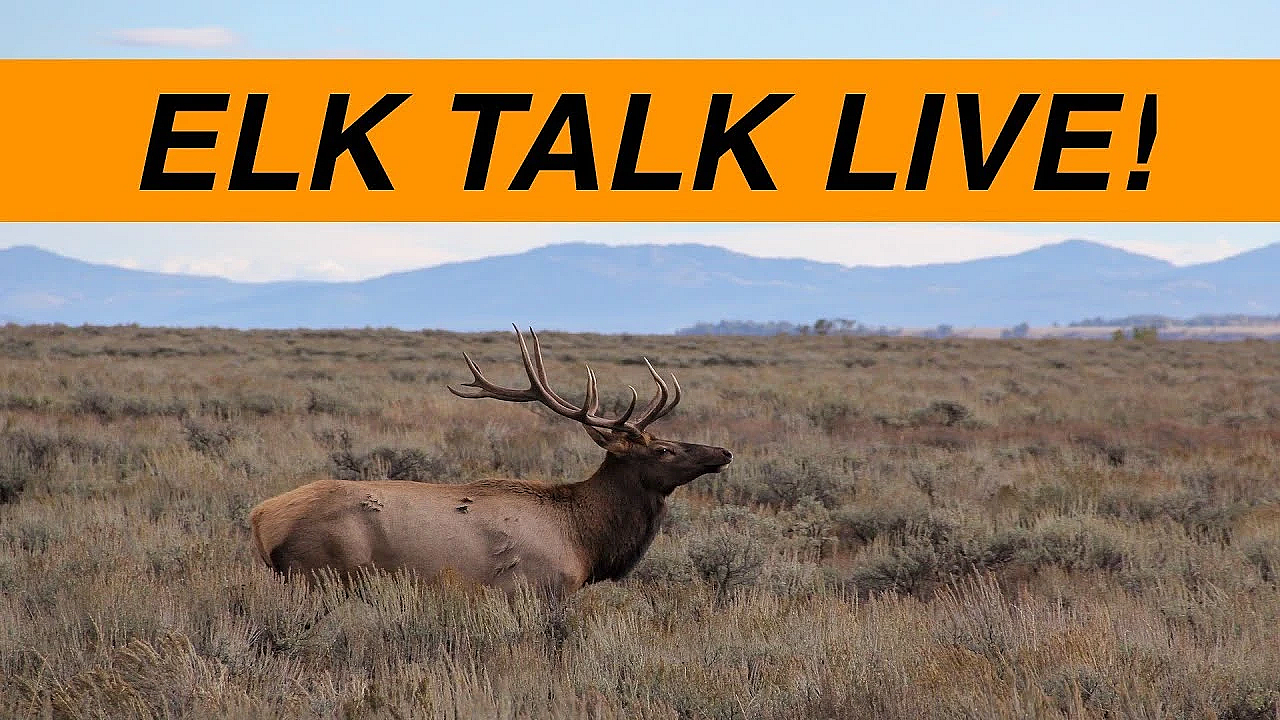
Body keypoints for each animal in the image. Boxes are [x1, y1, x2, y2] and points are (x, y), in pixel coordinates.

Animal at [249, 326, 732, 596]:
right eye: (663, 449)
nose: (723, 452)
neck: (584, 539)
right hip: (317, 574)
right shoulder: (537, 589)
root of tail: (261, 517)